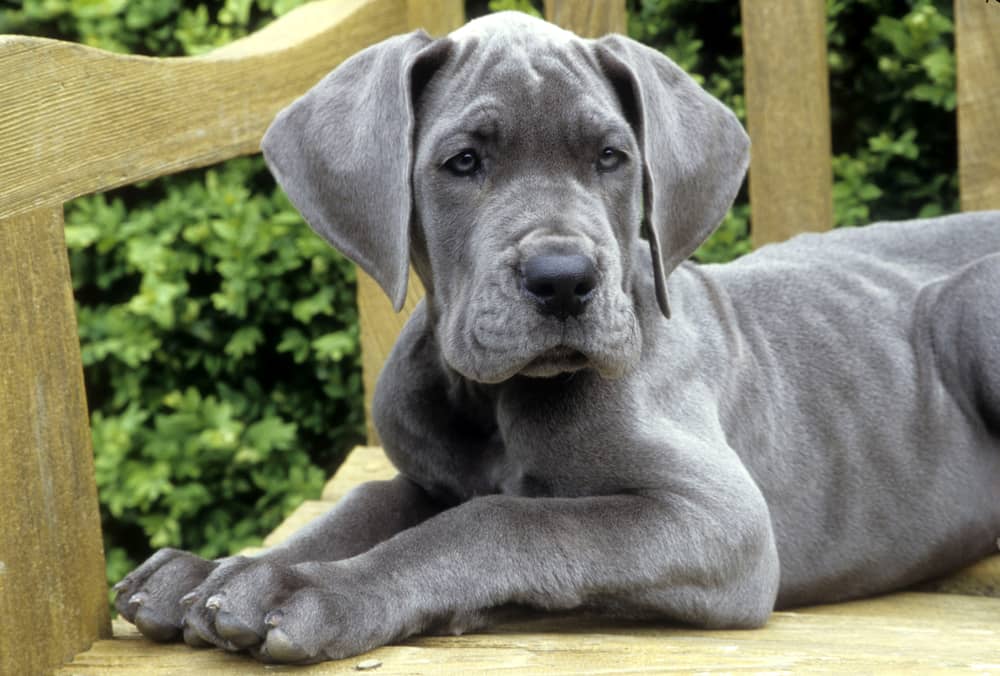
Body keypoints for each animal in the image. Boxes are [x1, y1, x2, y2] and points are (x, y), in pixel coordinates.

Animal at [111, 10, 1000, 664]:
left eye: (611, 157)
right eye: (463, 162)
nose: (564, 279)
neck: (490, 403)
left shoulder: (723, 521)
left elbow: (503, 520)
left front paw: (312, 593)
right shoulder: (427, 477)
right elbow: (369, 502)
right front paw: (218, 570)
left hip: (975, 309)